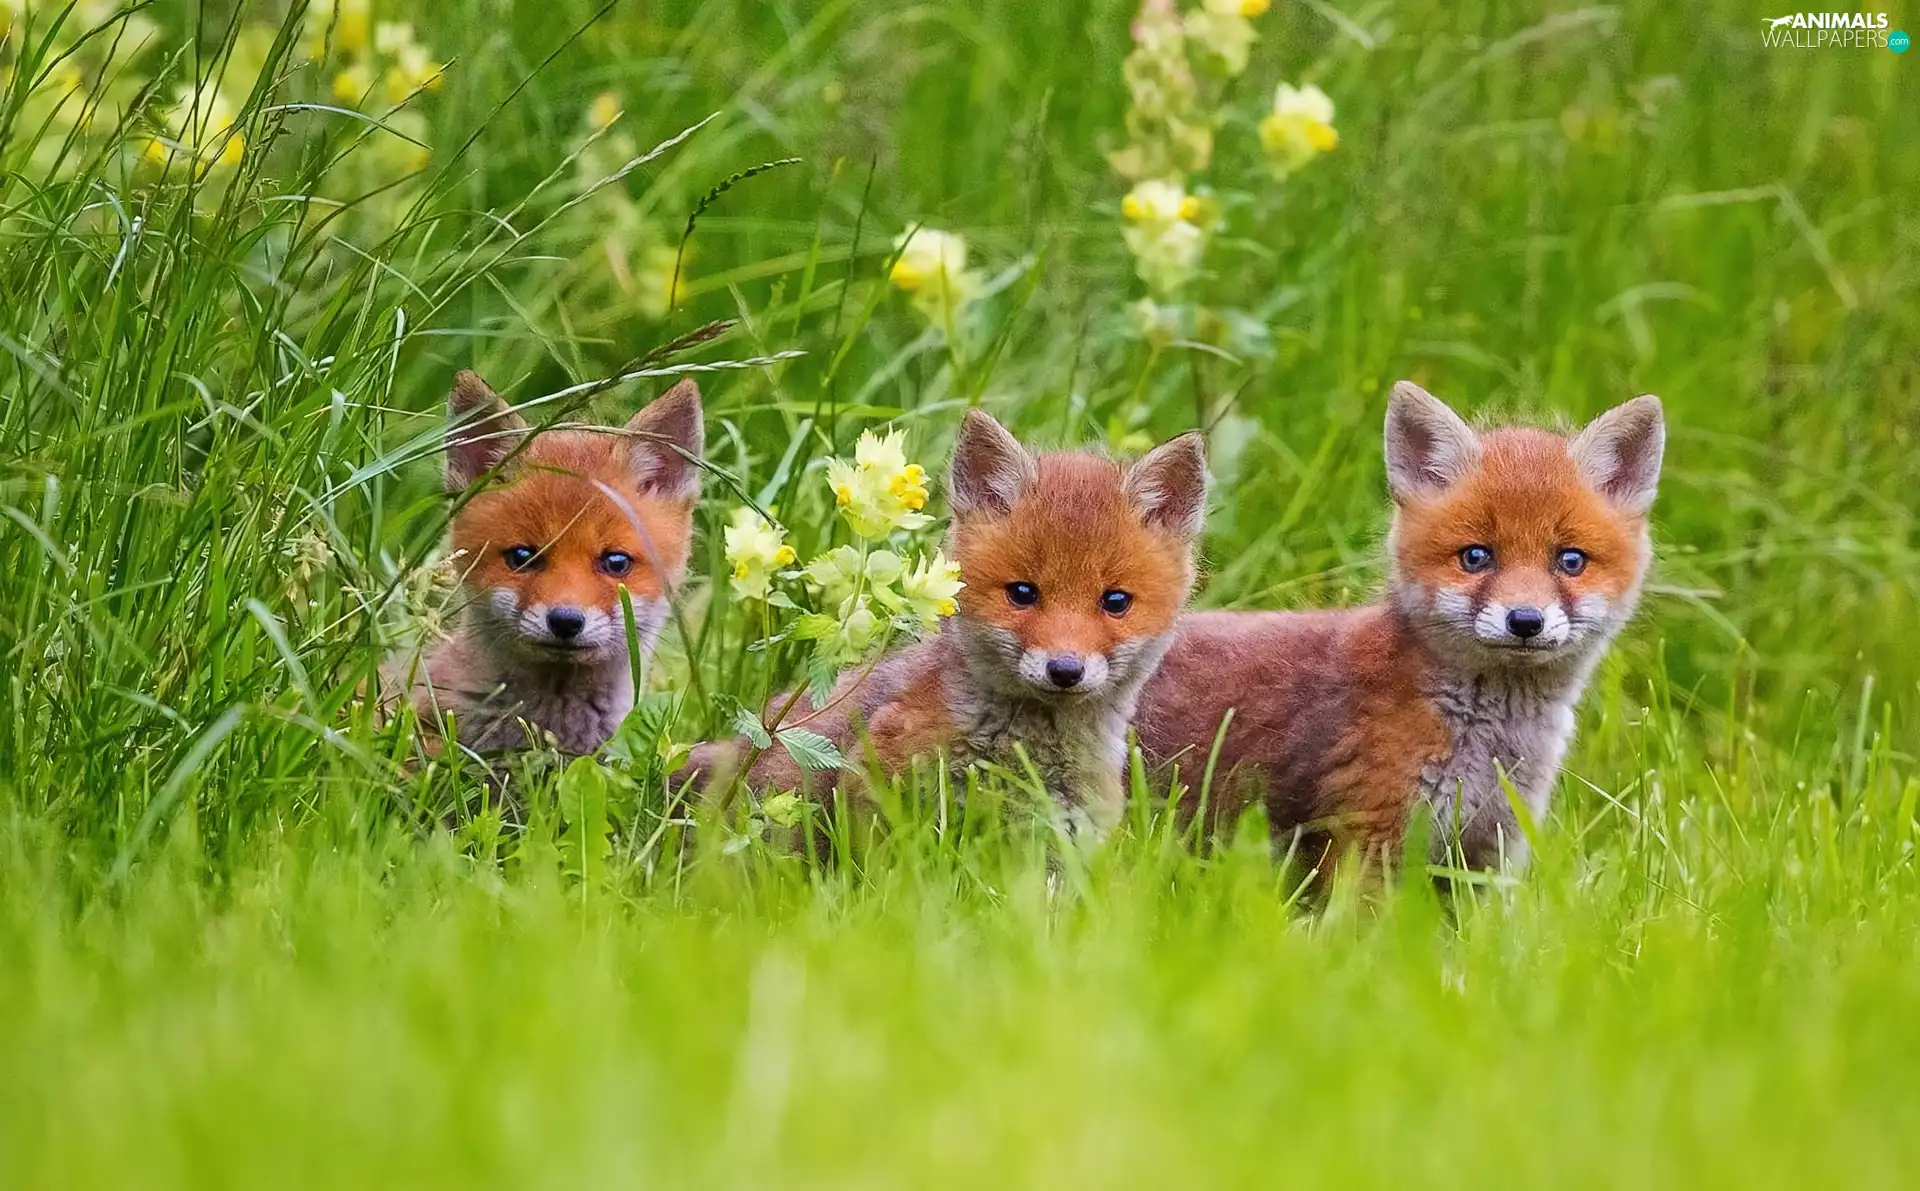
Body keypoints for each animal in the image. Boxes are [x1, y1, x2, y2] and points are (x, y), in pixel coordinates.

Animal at [1134, 382, 1665, 876]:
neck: (1487, 746)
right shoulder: (1370, 836)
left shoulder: (1487, 854)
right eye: (1476, 556)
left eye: (1570, 560)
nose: (1525, 621)